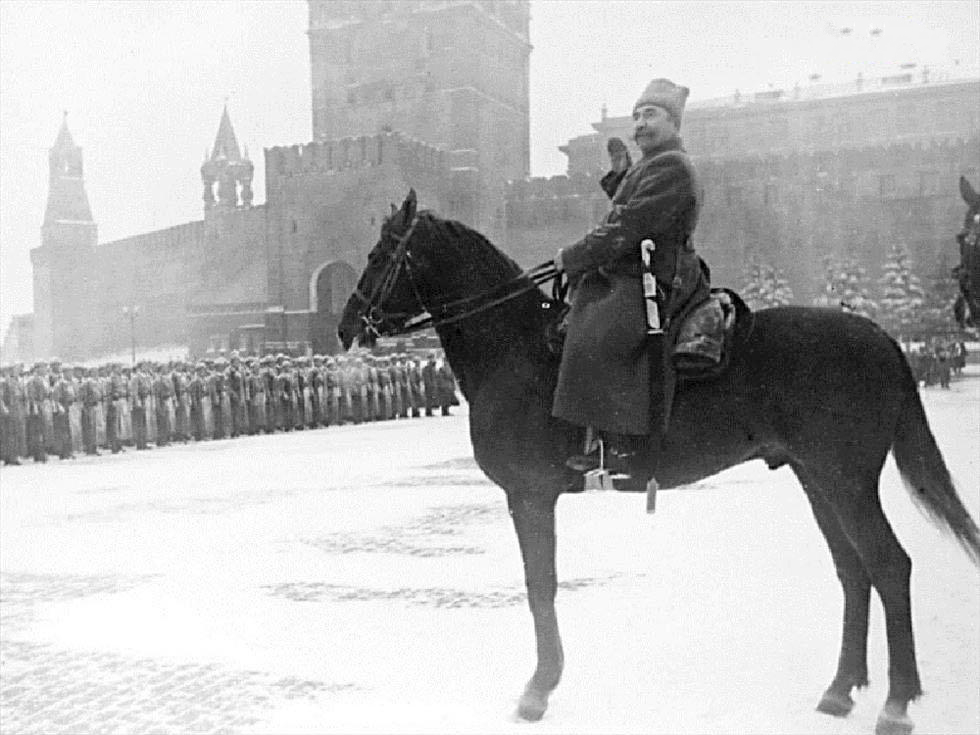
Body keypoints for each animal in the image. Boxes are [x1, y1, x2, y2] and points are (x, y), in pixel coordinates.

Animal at [338, 191, 980, 735]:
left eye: (380, 253)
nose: (345, 326)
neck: (515, 349)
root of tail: (879, 335)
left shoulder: (529, 494)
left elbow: (540, 585)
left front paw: (539, 689)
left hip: (846, 481)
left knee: (890, 566)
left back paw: (897, 702)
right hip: (817, 479)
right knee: (854, 571)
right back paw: (841, 689)